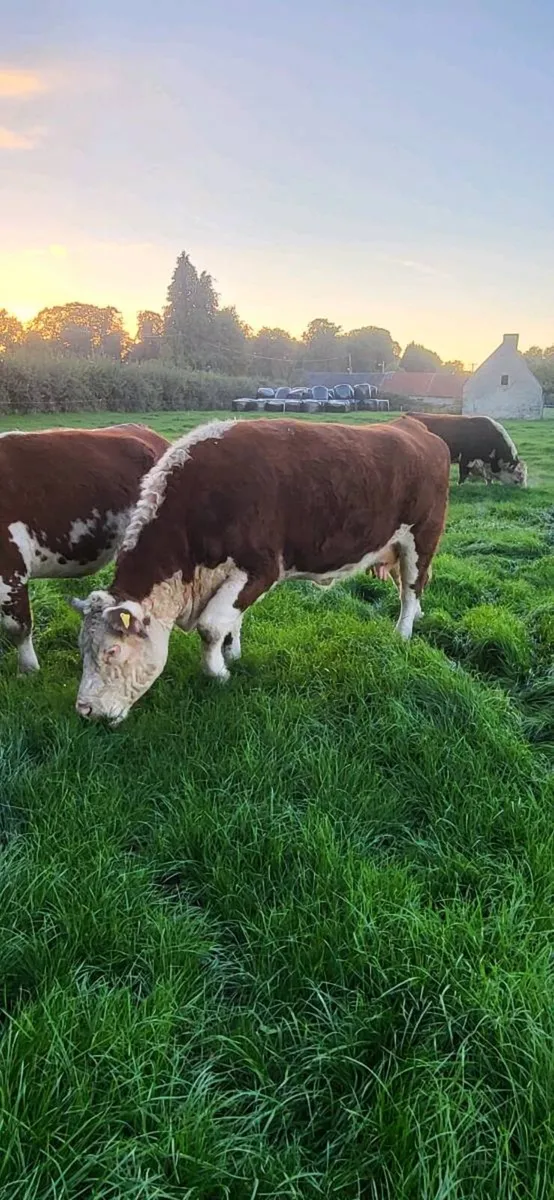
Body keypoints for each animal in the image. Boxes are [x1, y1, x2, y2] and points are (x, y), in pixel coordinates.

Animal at [72, 417, 450, 725]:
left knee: (411, 588)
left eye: (111, 651)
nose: (84, 709)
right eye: (81, 648)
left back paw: (403, 633)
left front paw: (218, 672)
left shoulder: (261, 568)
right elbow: (230, 621)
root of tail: (413, 426)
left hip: (422, 537)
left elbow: (211, 626)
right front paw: (232, 653)